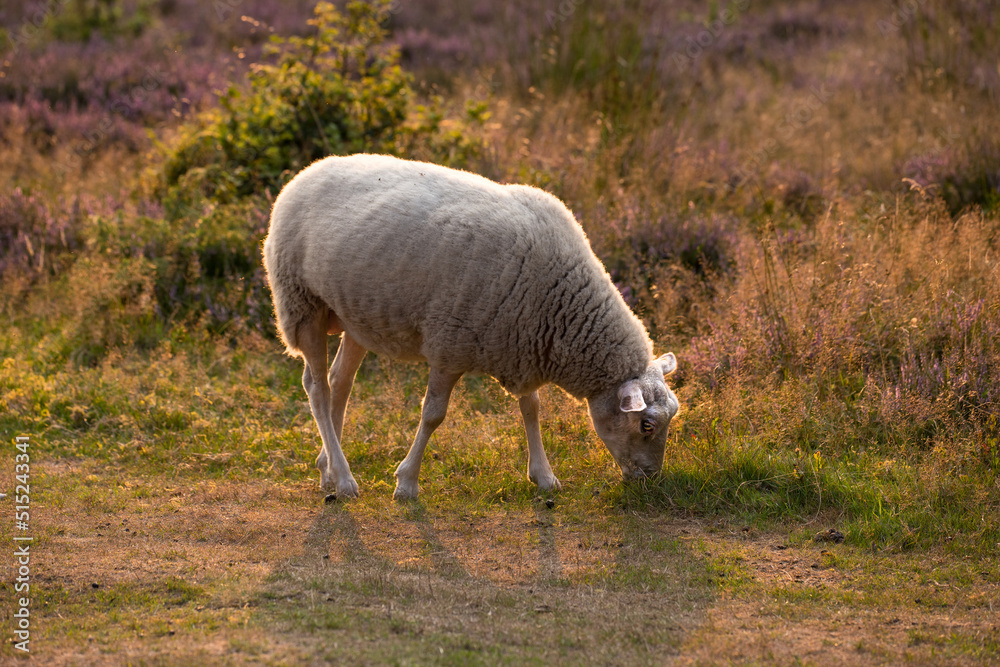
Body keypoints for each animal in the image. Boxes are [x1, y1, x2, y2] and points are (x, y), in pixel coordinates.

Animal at [262, 155, 680, 500]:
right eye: (646, 425)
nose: (651, 480)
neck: (559, 301)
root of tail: (305, 172)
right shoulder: (450, 345)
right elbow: (433, 415)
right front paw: (406, 483)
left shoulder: (523, 342)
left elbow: (532, 407)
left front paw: (543, 476)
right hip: (302, 303)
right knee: (316, 388)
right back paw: (345, 480)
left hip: (356, 315)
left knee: (340, 383)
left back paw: (328, 471)